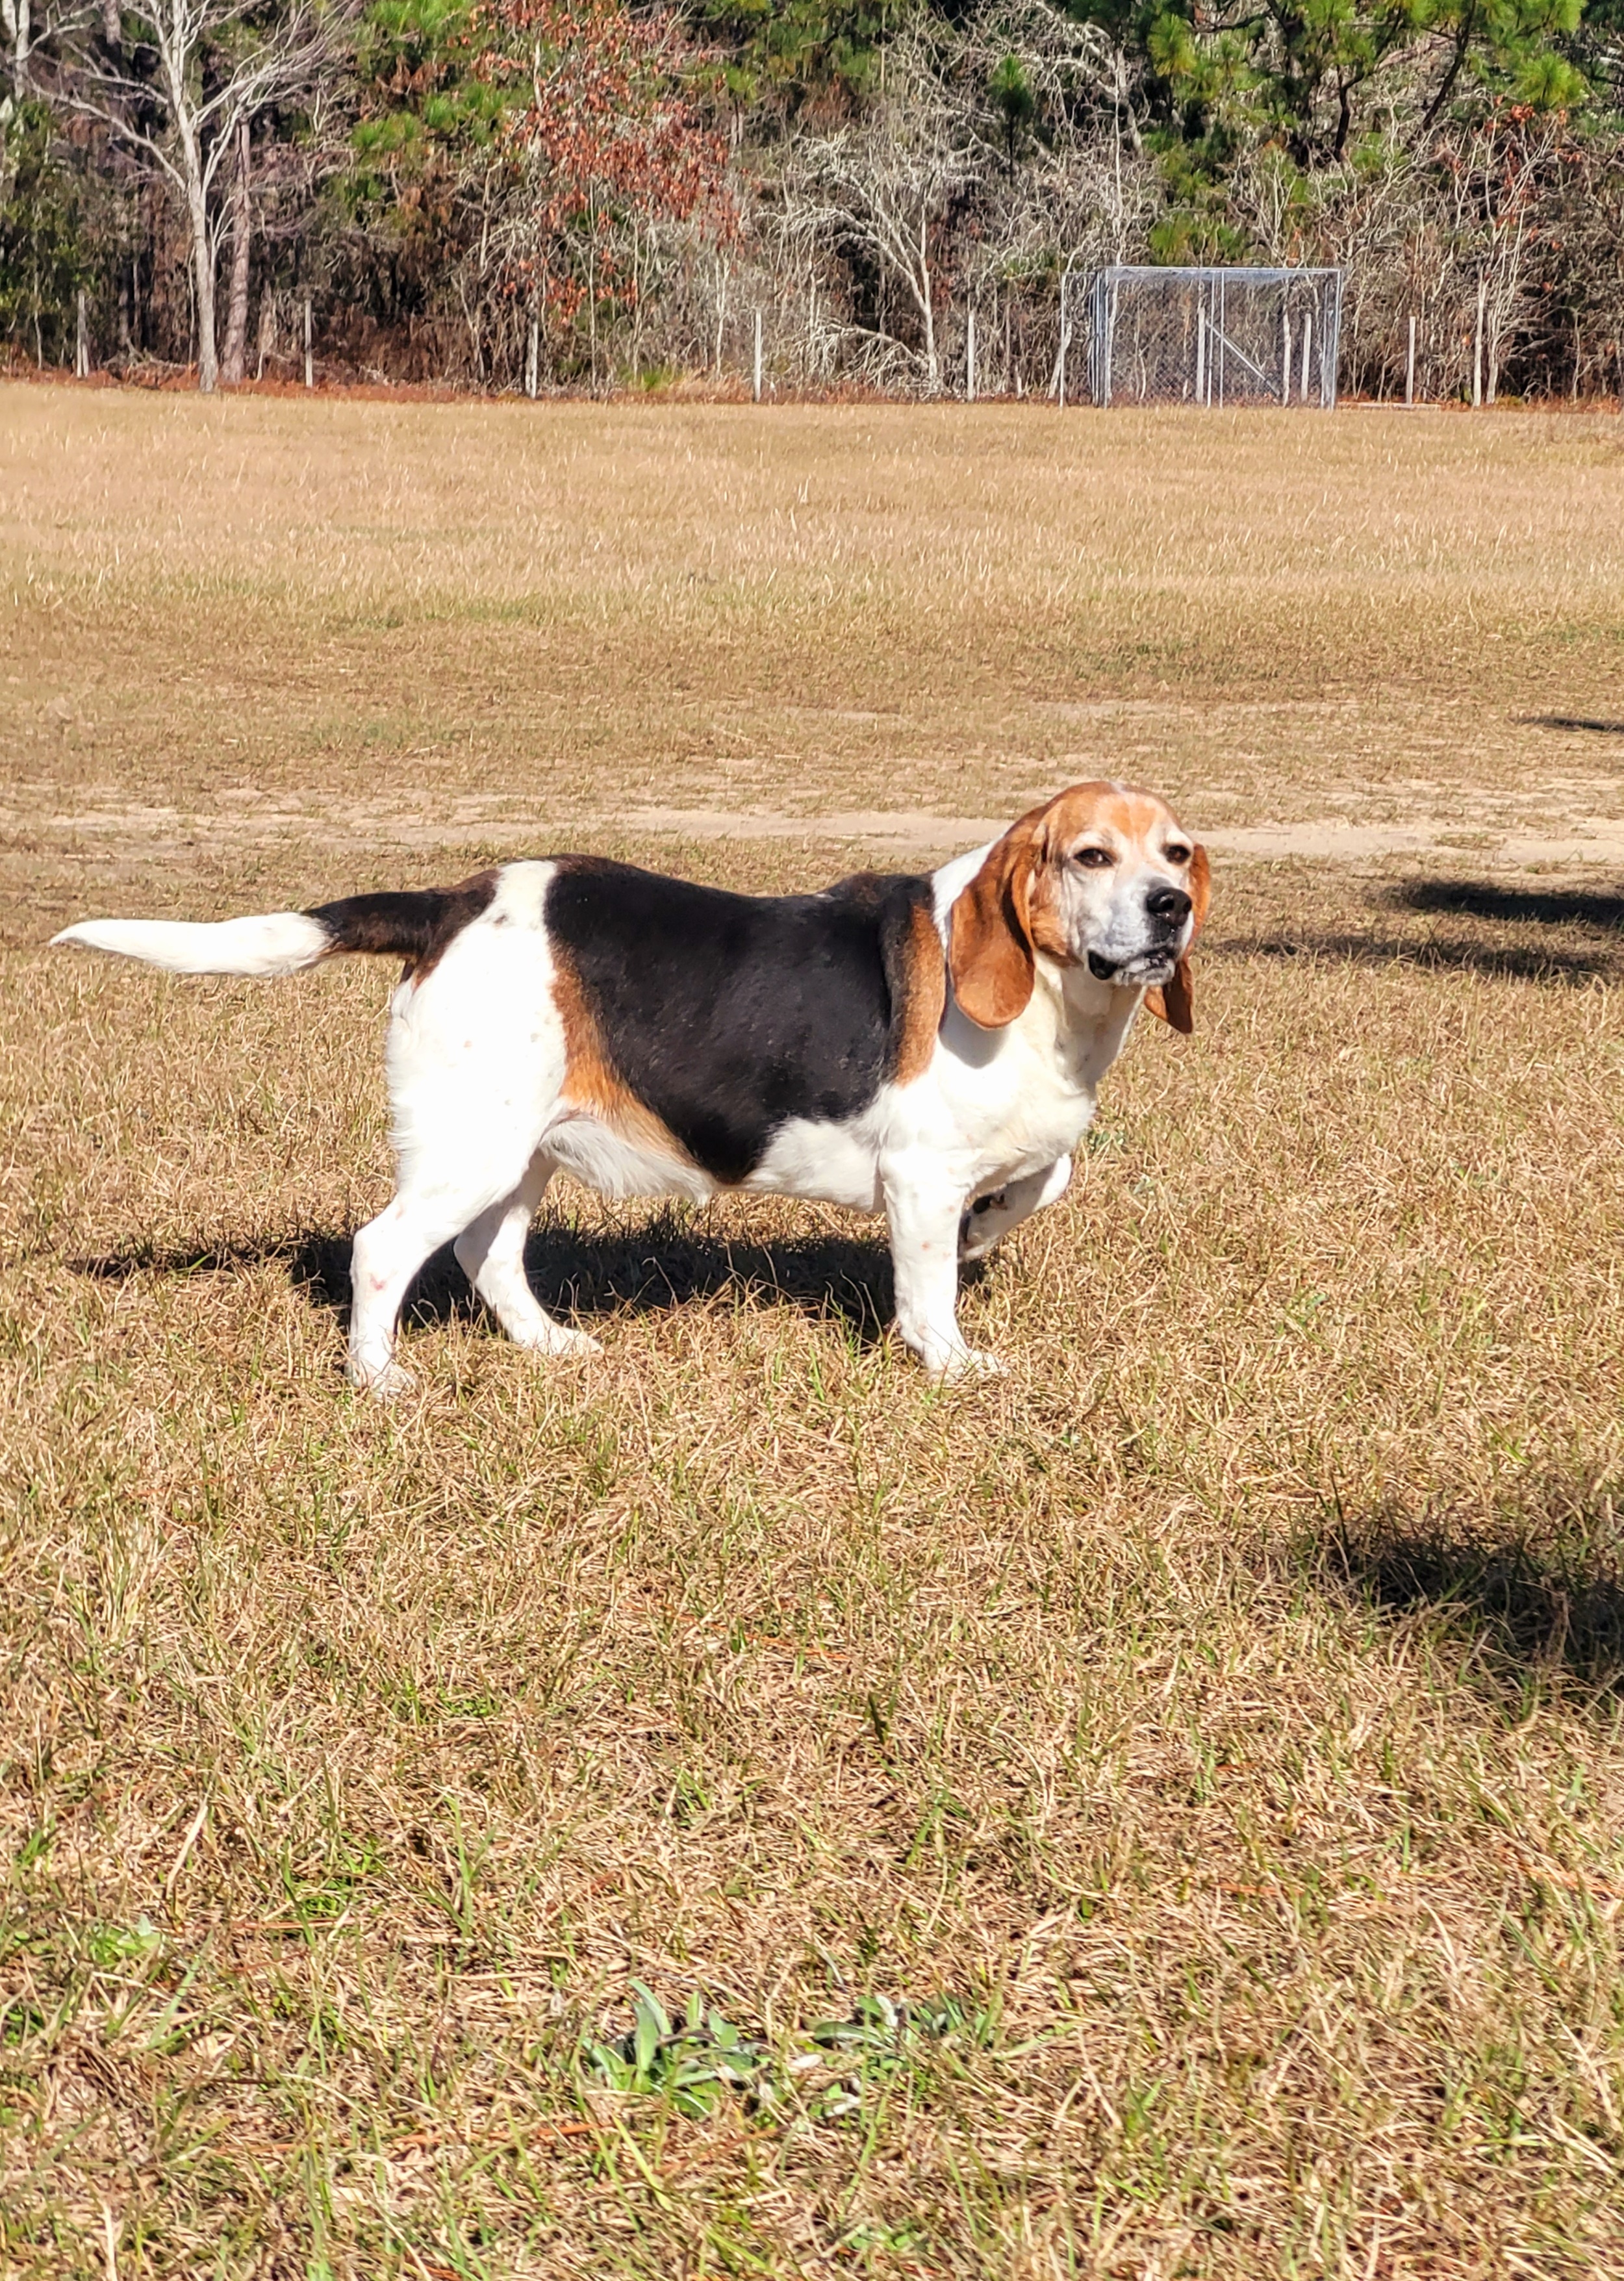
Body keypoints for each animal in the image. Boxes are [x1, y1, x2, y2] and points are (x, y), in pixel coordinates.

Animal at [53, 784, 1204, 1386]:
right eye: (1091, 855)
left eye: (1178, 850)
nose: (1171, 905)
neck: (1058, 1001)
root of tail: (450, 901)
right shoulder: (918, 1176)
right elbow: (930, 1290)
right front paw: (954, 1360)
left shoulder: (1013, 1151)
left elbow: (1045, 1178)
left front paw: (990, 1227)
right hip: (473, 1149)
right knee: (384, 1248)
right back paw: (378, 1379)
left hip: (519, 1151)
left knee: (486, 1255)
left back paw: (549, 1345)